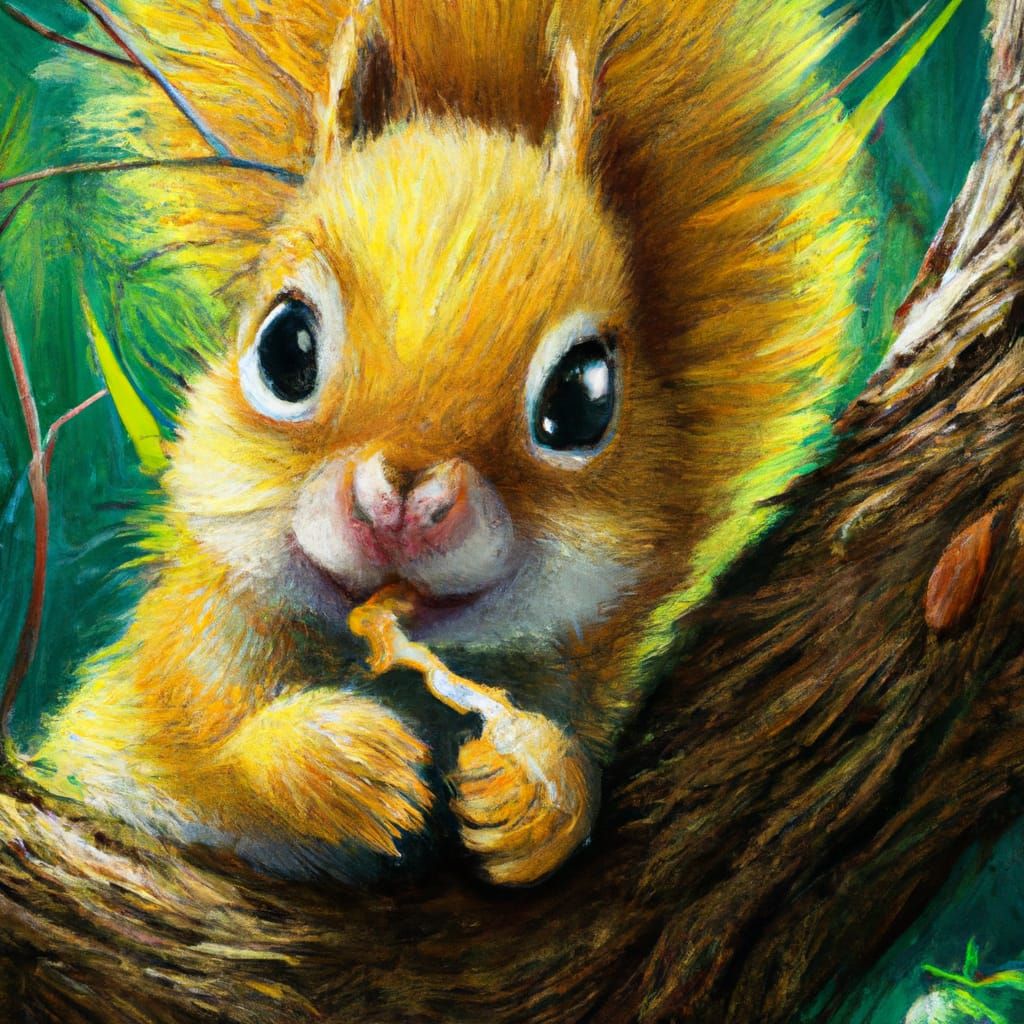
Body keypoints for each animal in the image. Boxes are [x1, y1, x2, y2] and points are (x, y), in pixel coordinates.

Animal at [30, 0, 866, 885]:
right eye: (284, 348)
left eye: (584, 400)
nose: (400, 497)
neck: (376, 668)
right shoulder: (159, 686)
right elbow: (198, 762)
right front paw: (337, 761)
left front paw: (538, 795)